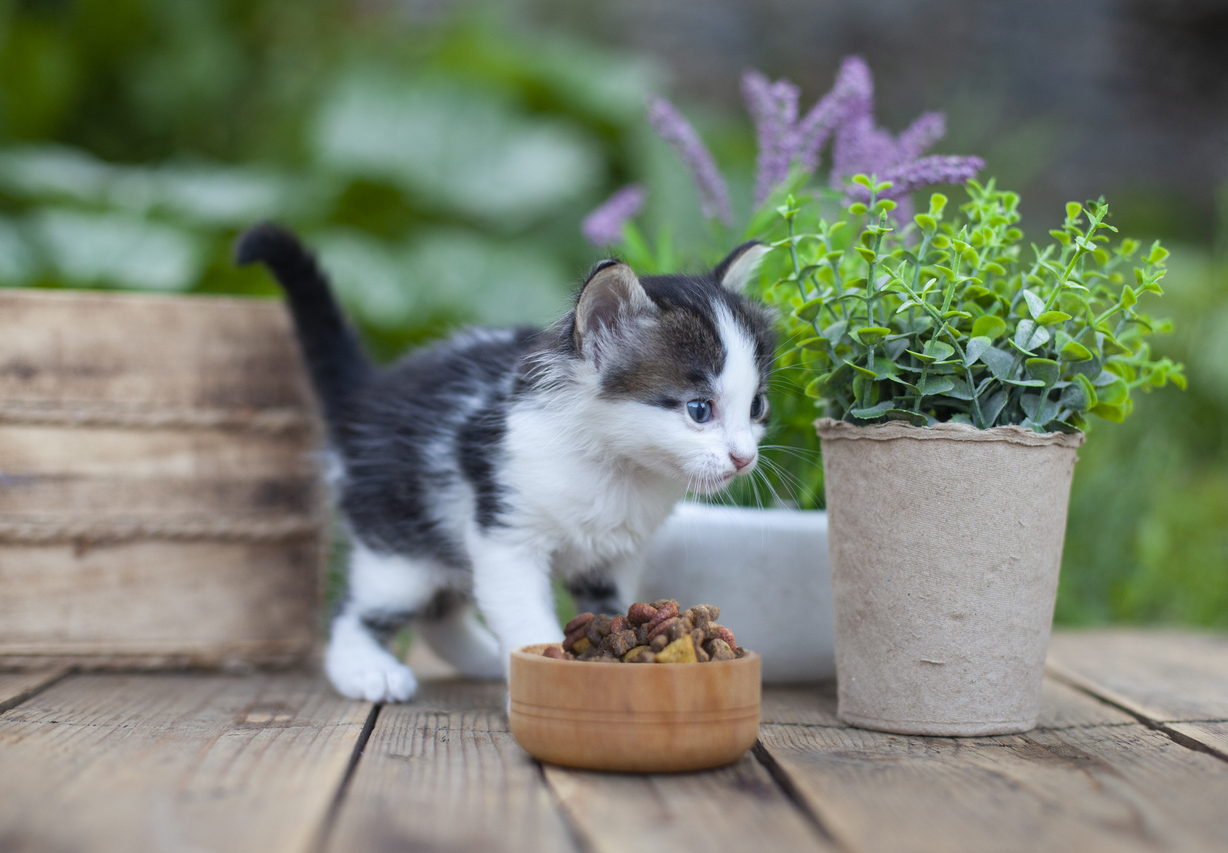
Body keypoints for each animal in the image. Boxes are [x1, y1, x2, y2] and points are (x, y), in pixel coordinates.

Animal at [234, 225, 771, 702]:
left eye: (757, 407)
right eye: (698, 409)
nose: (744, 458)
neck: (616, 468)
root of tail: (364, 395)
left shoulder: (617, 557)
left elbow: (613, 610)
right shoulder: (506, 535)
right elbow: (525, 617)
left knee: (438, 613)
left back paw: (485, 660)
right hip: (397, 547)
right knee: (356, 612)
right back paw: (368, 670)